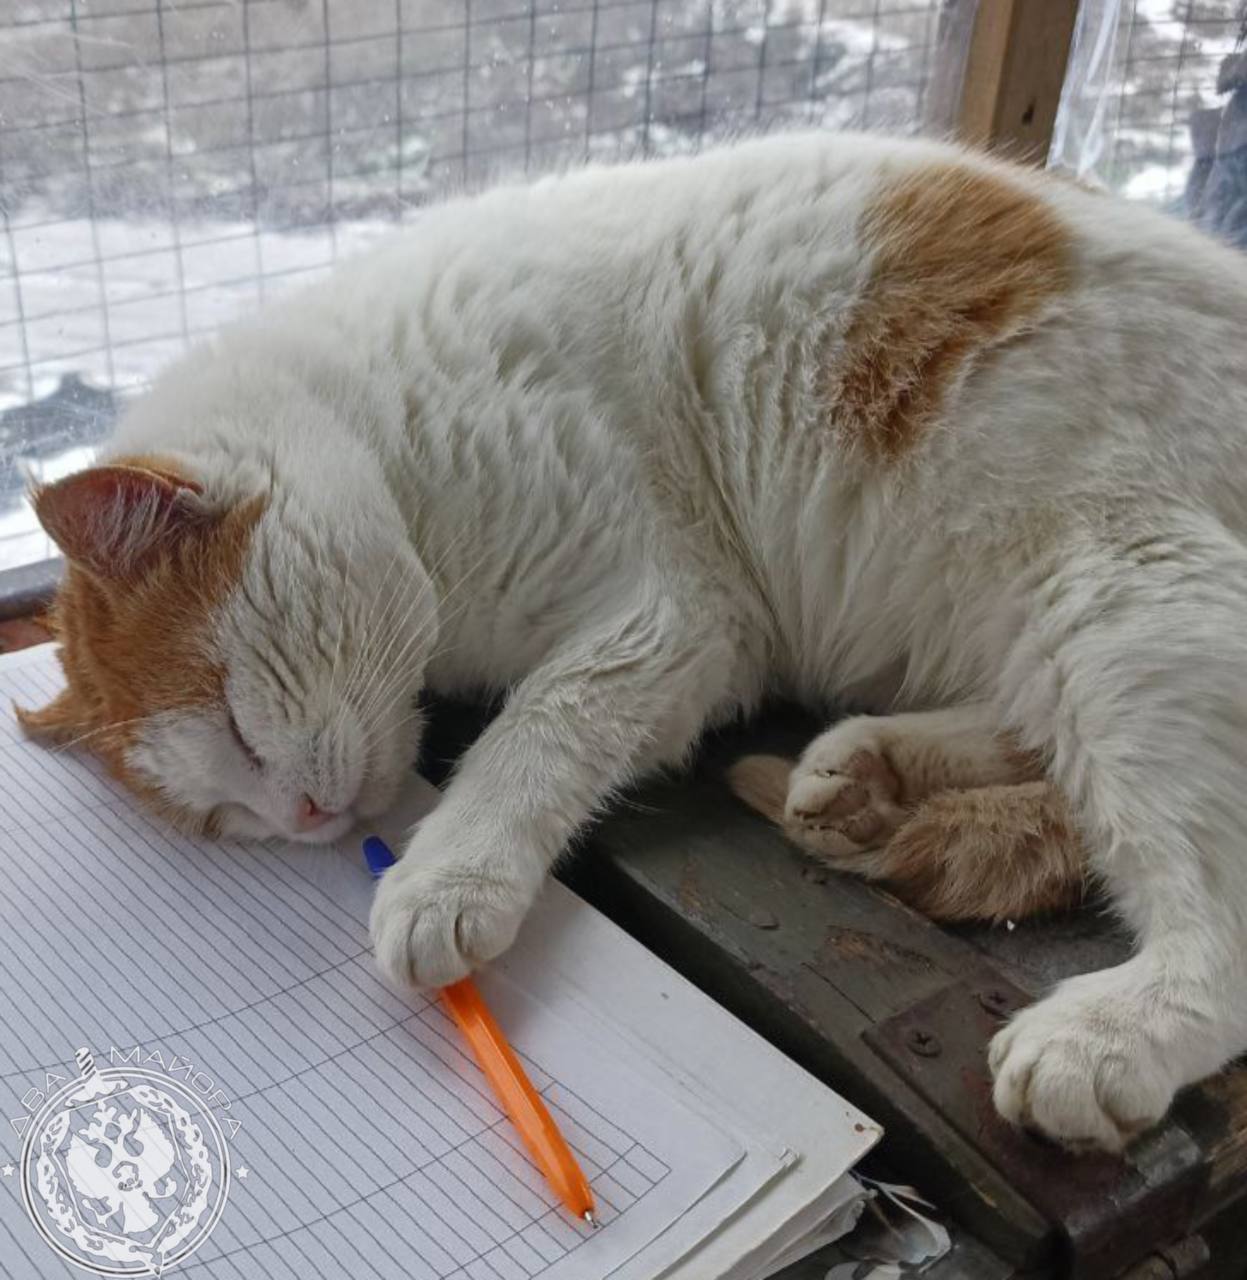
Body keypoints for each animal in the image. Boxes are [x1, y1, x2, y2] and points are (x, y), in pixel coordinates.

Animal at [17, 131, 1247, 1157]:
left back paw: (1107, 1033)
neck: (374, 421)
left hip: (1127, 588)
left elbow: (533, 732)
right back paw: (863, 774)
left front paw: (442, 877)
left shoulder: (671, 615)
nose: (308, 817)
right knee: (1034, 743)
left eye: (235, 714)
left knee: (1207, 915)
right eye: (224, 817)